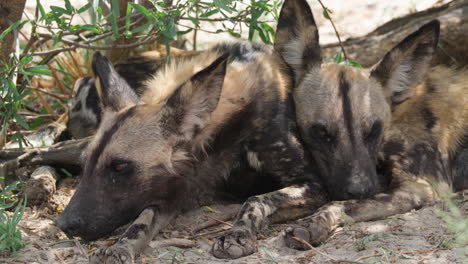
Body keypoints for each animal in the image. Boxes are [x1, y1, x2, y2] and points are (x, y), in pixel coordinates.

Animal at [274, 0, 468, 250]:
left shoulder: (421, 186)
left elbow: (338, 204)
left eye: (374, 130)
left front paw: (311, 225)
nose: (360, 190)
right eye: (322, 132)